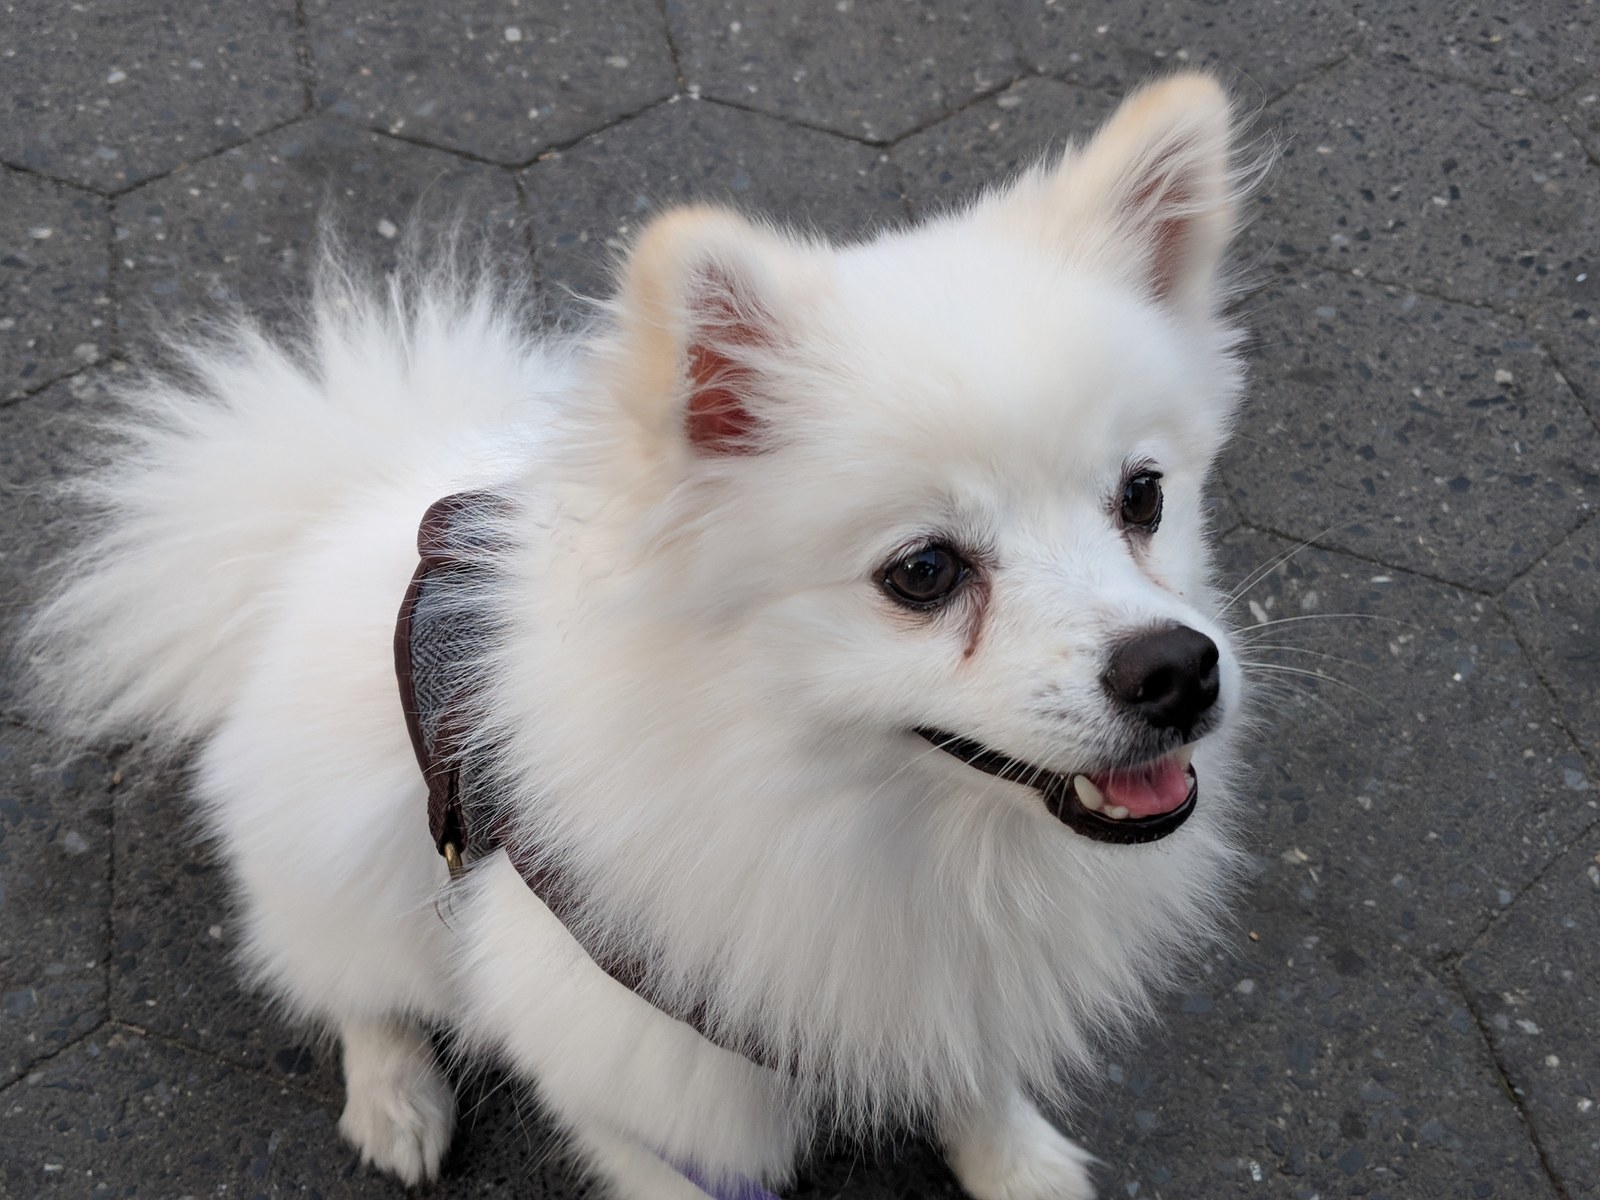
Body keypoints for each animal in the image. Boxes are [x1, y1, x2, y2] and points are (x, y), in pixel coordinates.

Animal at [24, 72, 1254, 1199]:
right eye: (923, 573)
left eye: (1143, 496)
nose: (1176, 668)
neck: (872, 822)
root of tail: (330, 507)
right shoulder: (621, 1059)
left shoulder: (941, 989)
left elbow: (977, 1076)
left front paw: (1018, 1165)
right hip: (339, 866)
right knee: (352, 989)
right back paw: (395, 1098)